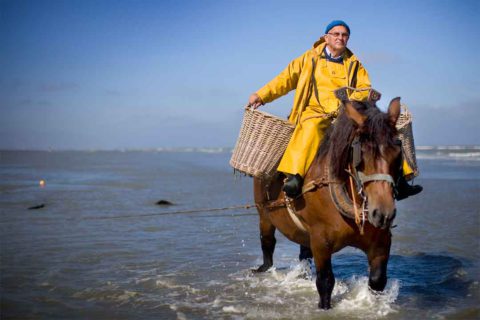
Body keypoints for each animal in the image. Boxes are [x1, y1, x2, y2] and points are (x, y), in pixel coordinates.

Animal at [253, 98, 404, 310]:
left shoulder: (381, 242)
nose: (383, 213)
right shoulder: (320, 241)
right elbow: (325, 282)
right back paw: (264, 267)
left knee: (303, 252)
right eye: (362, 154)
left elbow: (377, 281)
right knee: (267, 241)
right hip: (263, 213)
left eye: (398, 151)